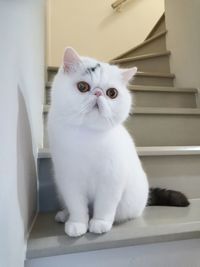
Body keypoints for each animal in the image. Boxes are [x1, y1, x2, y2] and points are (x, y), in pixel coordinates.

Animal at [47, 47, 149, 238]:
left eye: (112, 93)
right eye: (82, 87)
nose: (98, 93)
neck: (88, 136)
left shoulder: (112, 178)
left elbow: (105, 205)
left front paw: (100, 223)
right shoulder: (69, 177)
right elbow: (76, 205)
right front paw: (77, 224)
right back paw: (64, 215)